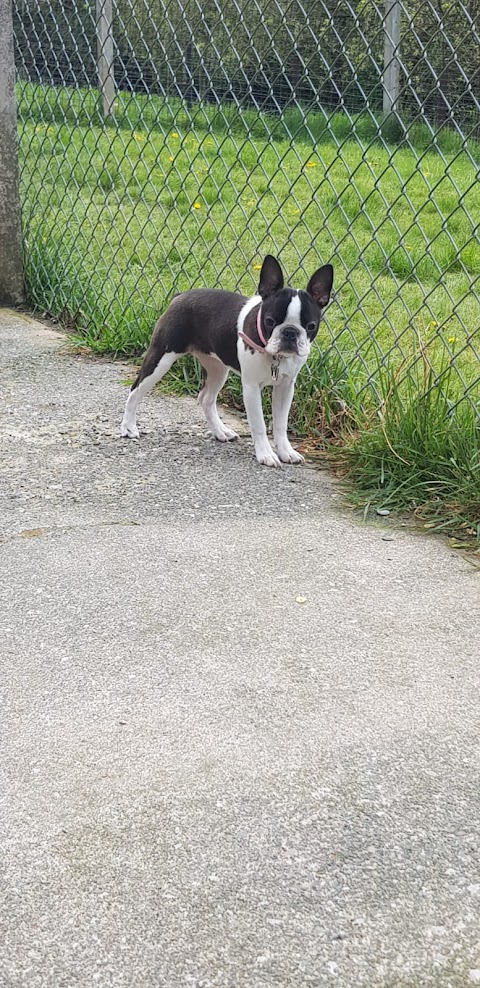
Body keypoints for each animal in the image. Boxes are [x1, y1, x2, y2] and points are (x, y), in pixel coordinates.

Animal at [121, 256, 334, 468]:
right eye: (270, 321)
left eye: (311, 326)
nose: (290, 332)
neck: (276, 357)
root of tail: (180, 296)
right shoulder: (251, 388)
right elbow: (259, 424)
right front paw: (266, 454)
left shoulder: (286, 387)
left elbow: (281, 424)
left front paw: (286, 451)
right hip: (161, 358)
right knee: (135, 389)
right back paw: (128, 427)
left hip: (217, 370)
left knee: (206, 399)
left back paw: (220, 431)